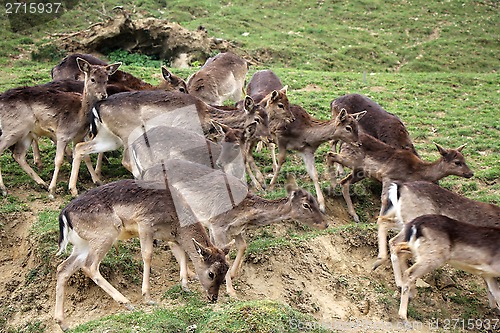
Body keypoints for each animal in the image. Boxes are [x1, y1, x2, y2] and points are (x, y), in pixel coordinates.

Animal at [0, 57, 120, 197]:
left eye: (106, 80)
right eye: (92, 79)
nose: (103, 95)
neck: (80, 116)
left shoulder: (79, 137)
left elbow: (86, 156)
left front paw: (97, 181)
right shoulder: (62, 134)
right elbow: (58, 160)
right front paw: (52, 190)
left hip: (26, 133)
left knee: (18, 155)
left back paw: (41, 183)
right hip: (12, 129)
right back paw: (4, 189)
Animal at [55, 179, 232, 332]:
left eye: (226, 269)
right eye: (211, 273)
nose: (214, 297)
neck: (176, 222)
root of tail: (64, 214)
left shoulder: (172, 237)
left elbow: (182, 255)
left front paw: (185, 287)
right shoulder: (145, 223)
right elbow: (147, 255)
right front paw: (147, 297)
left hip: (82, 244)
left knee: (63, 268)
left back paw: (63, 324)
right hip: (106, 232)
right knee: (89, 265)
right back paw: (126, 302)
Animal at [326, 131, 474, 222]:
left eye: (464, 159)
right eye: (457, 162)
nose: (471, 173)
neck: (415, 172)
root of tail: (343, 141)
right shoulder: (388, 176)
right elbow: (385, 199)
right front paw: (379, 220)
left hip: (360, 171)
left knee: (344, 182)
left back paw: (354, 215)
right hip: (351, 159)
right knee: (330, 155)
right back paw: (331, 187)